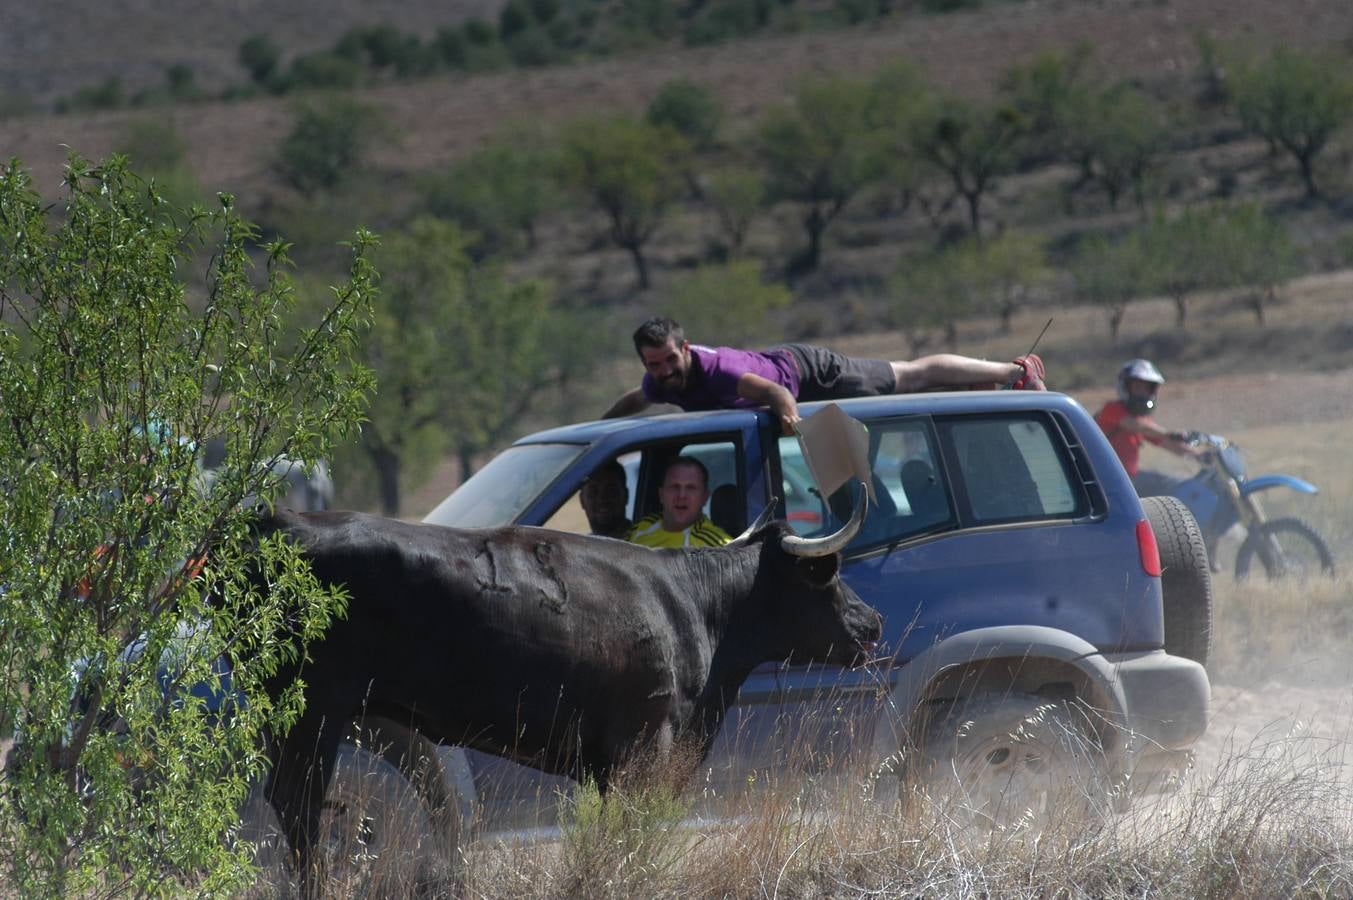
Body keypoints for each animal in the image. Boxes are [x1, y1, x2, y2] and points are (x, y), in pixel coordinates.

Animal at [254, 495, 882, 871]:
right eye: (825, 574)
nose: (872, 622)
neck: (690, 603)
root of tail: (285, 523)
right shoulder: (643, 746)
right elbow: (630, 834)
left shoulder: (604, 763)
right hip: (312, 712)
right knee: (302, 809)